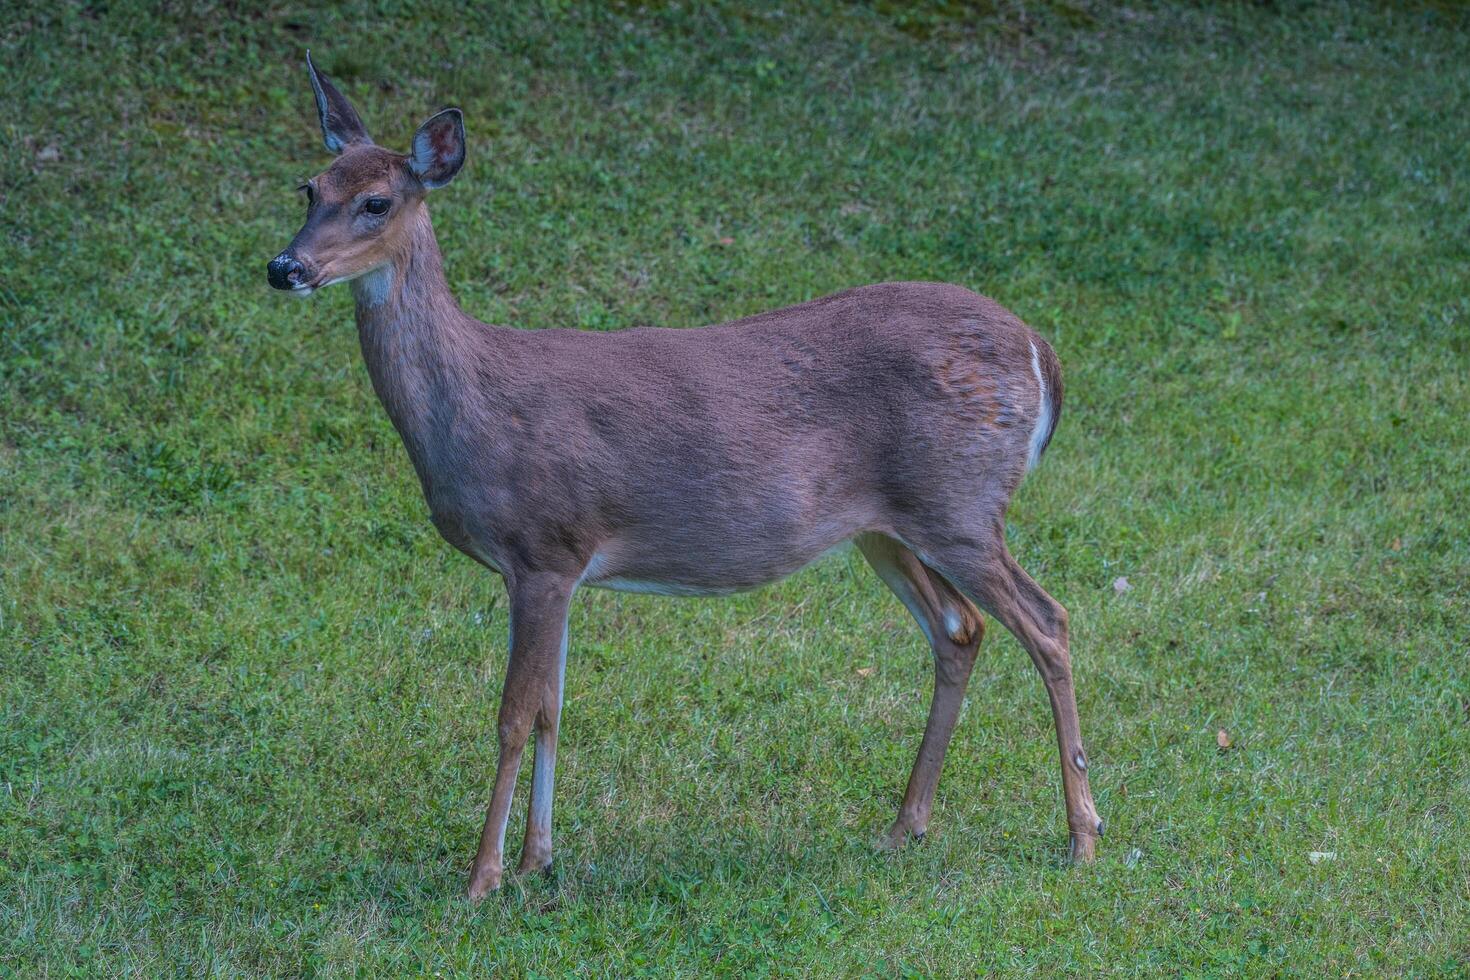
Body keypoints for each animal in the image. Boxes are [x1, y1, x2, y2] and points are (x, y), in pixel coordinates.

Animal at [267, 51, 1105, 899]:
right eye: (309, 188)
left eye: (376, 202)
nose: (284, 267)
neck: (469, 411)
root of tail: (1041, 349)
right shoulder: (556, 568)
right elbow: (553, 709)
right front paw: (539, 860)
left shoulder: (543, 545)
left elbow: (512, 716)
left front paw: (482, 879)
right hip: (887, 526)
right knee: (960, 629)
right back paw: (905, 827)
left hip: (960, 504)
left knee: (1048, 620)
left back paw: (1082, 836)